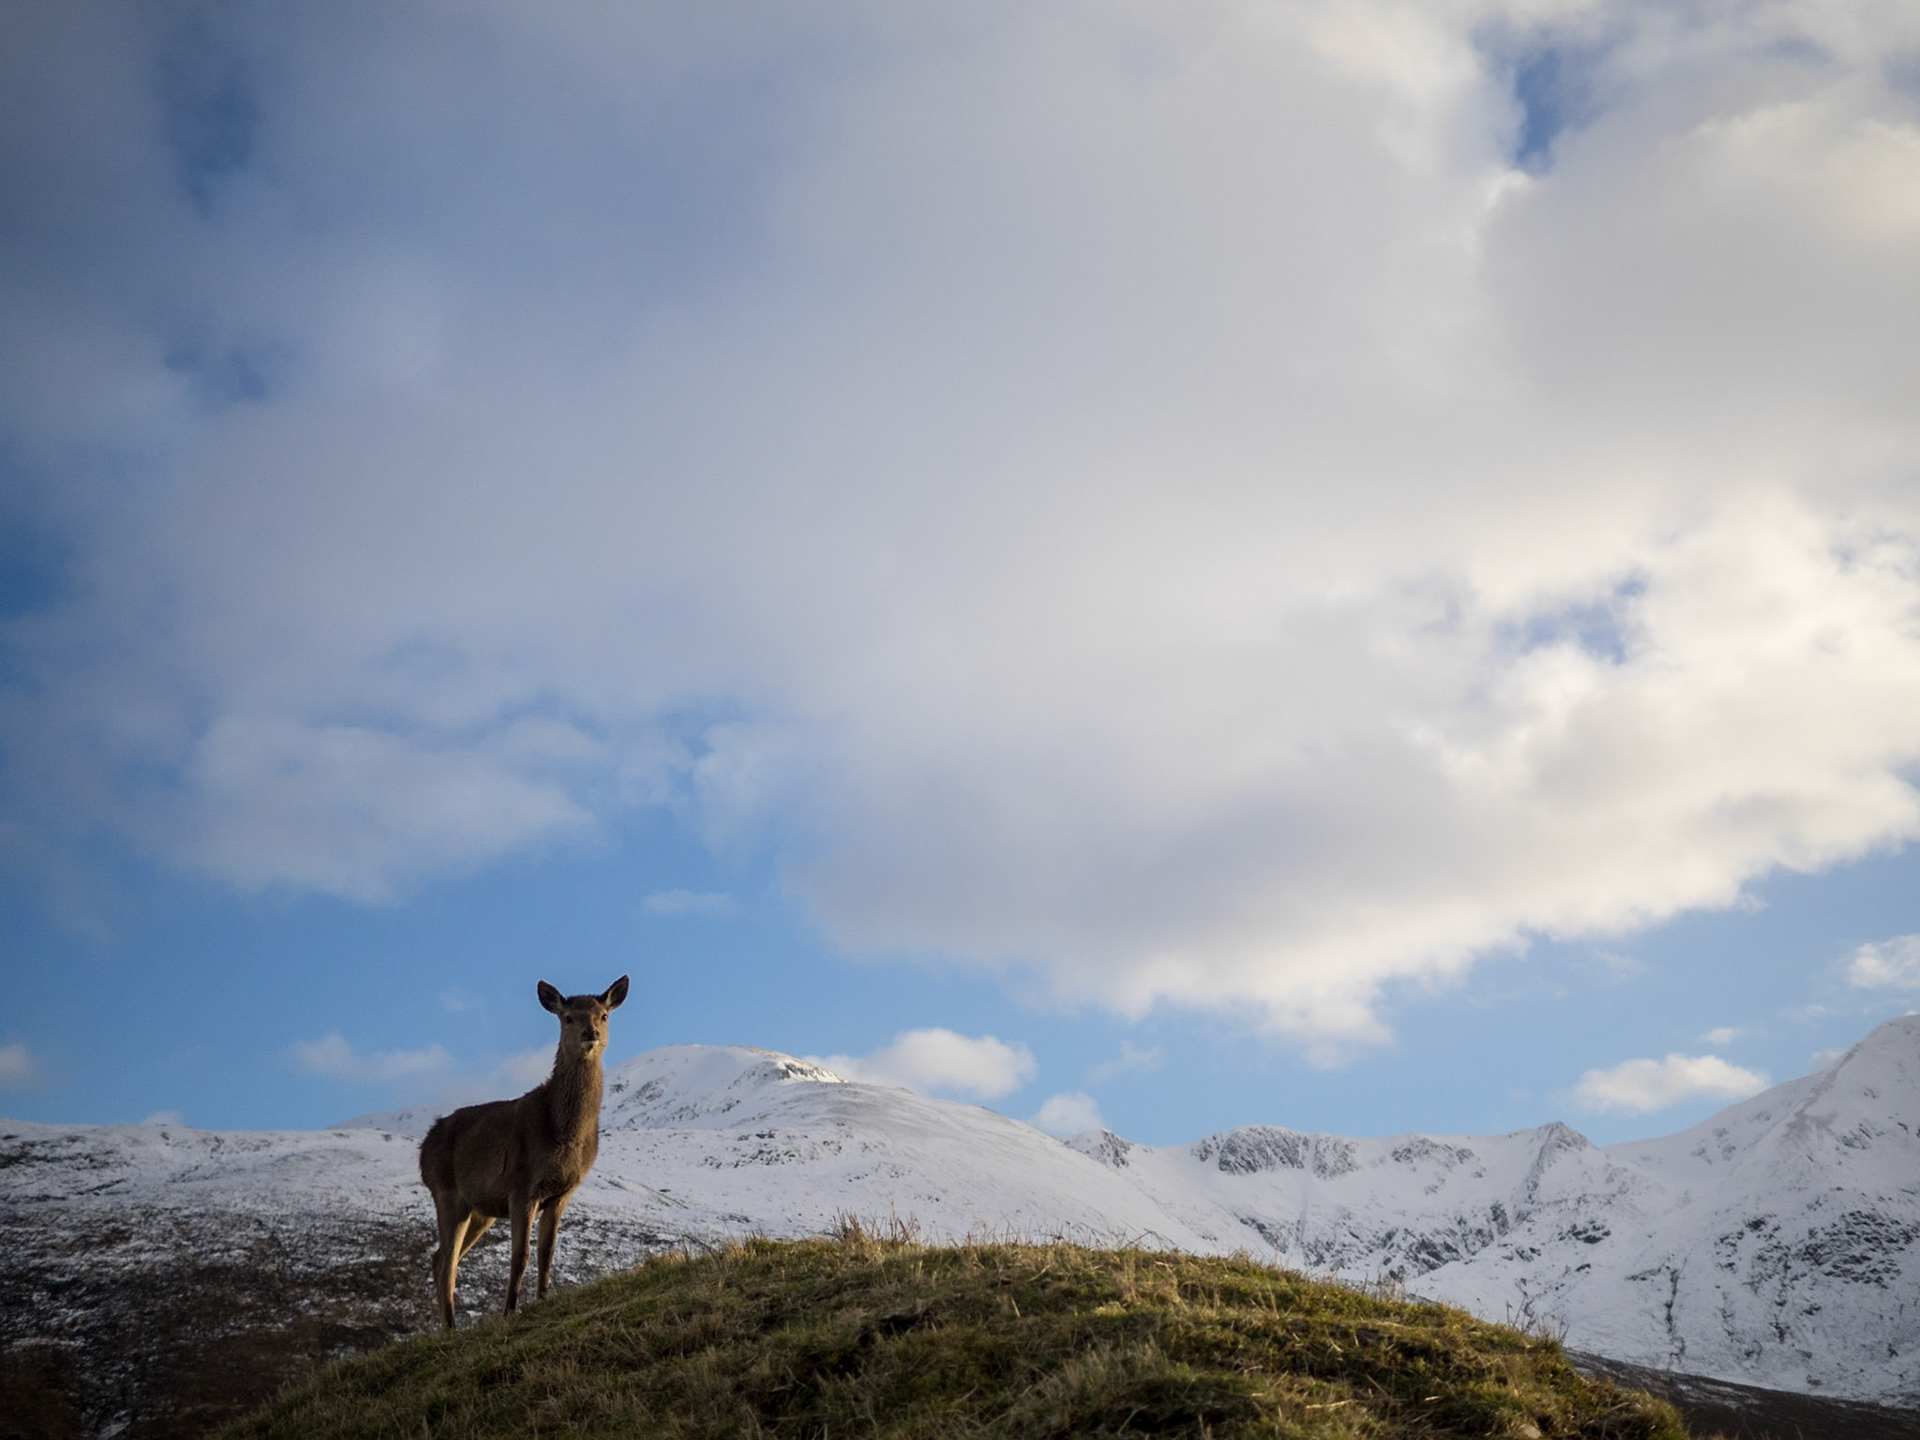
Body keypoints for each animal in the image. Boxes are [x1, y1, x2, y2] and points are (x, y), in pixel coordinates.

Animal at [418, 975, 629, 1330]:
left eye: (603, 1015)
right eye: (567, 1017)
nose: (591, 1034)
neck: (561, 1134)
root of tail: (422, 1151)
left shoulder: (562, 1192)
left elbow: (547, 1251)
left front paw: (542, 1300)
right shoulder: (521, 1185)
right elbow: (520, 1255)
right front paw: (509, 1311)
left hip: (481, 1210)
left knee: (440, 1257)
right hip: (447, 1192)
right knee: (446, 1259)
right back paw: (450, 1328)